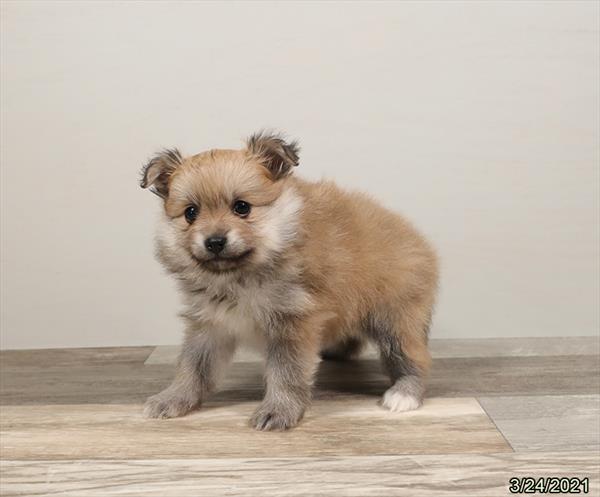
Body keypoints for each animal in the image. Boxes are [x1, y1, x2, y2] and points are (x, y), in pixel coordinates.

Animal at [142, 132, 440, 430]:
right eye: (191, 213)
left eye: (242, 208)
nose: (215, 241)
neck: (240, 278)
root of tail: (416, 238)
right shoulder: (210, 324)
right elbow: (192, 367)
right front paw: (173, 398)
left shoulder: (292, 322)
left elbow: (286, 373)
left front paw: (278, 410)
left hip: (396, 320)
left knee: (413, 357)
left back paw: (404, 395)